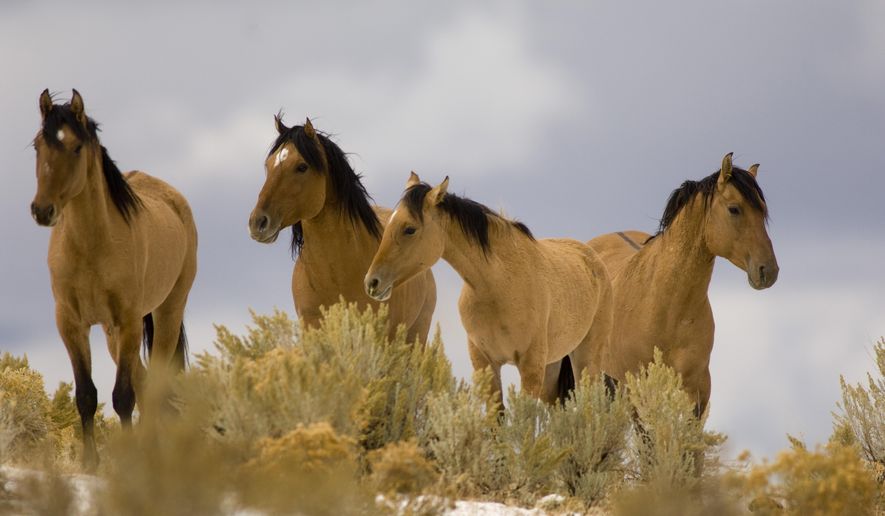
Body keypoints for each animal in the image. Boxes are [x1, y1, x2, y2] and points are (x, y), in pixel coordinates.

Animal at [31, 88, 199, 468]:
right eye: (37, 144)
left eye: (76, 146)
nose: (42, 210)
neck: (92, 245)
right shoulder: (71, 323)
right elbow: (86, 395)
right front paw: (90, 462)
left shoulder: (128, 320)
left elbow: (123, 396)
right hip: (111, 333)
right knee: (145, 383)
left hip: (166, 313)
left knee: (155, 386)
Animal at [362, 173, 612, 408]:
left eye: (410, 229)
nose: (372, 282)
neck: (499, 285)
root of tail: (594, 259)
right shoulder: (486, 362)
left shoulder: (530, 366)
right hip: (553, 366)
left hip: (585, 359)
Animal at [584, 153, 776, 420]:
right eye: (734, 209)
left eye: (763, 211)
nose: (768, 270)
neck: (665, 308)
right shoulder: (637, 391)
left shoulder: (698, 391)